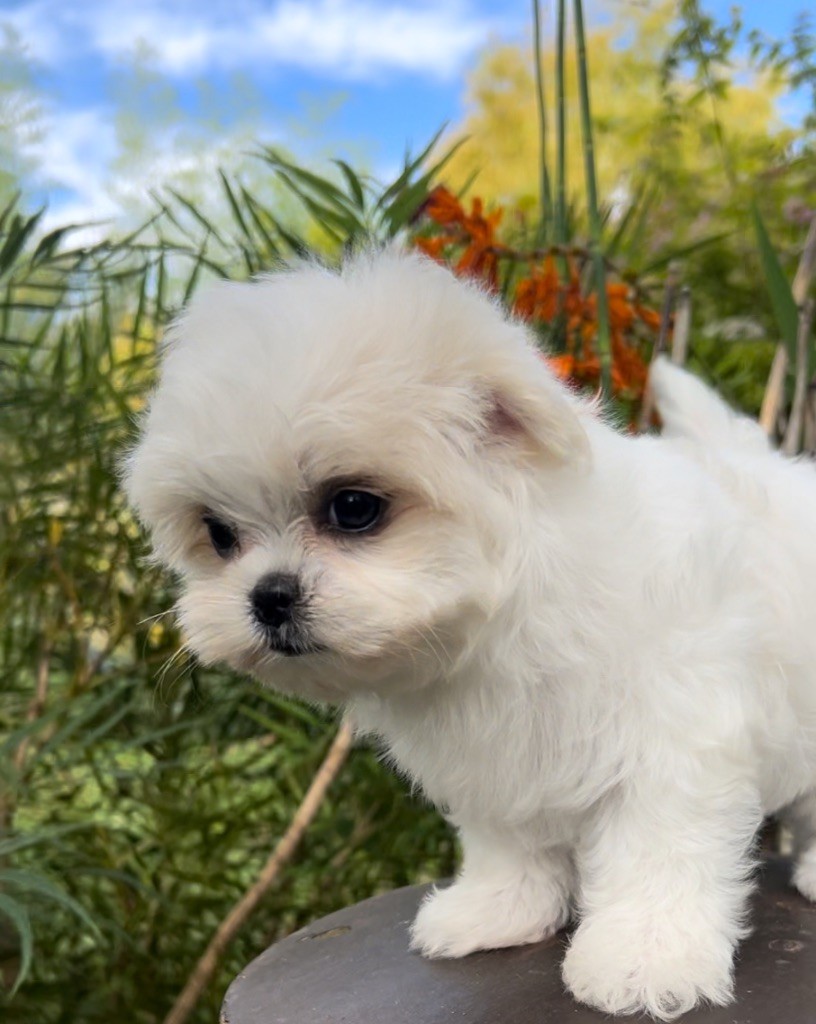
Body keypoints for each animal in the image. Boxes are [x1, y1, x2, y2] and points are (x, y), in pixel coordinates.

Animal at [124, 251, 814, 1019]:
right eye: (219, 534)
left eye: (353, 507)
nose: (267, 596)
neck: (501, 618)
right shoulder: (498, 756)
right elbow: (509, 841)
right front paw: (499, 909)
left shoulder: (676, 740)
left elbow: (657, 849)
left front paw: (645, 957)